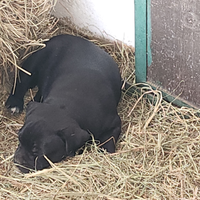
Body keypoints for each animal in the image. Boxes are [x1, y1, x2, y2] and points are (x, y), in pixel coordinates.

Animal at [5, 33, 122, 173]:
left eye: (37, 152)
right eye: (19, 139)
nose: (17, 161)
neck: (67, 106)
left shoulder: (114, 123)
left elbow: (109, 139)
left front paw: (104, 152)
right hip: (33, 64)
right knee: (21, 81)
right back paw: (14, 102)